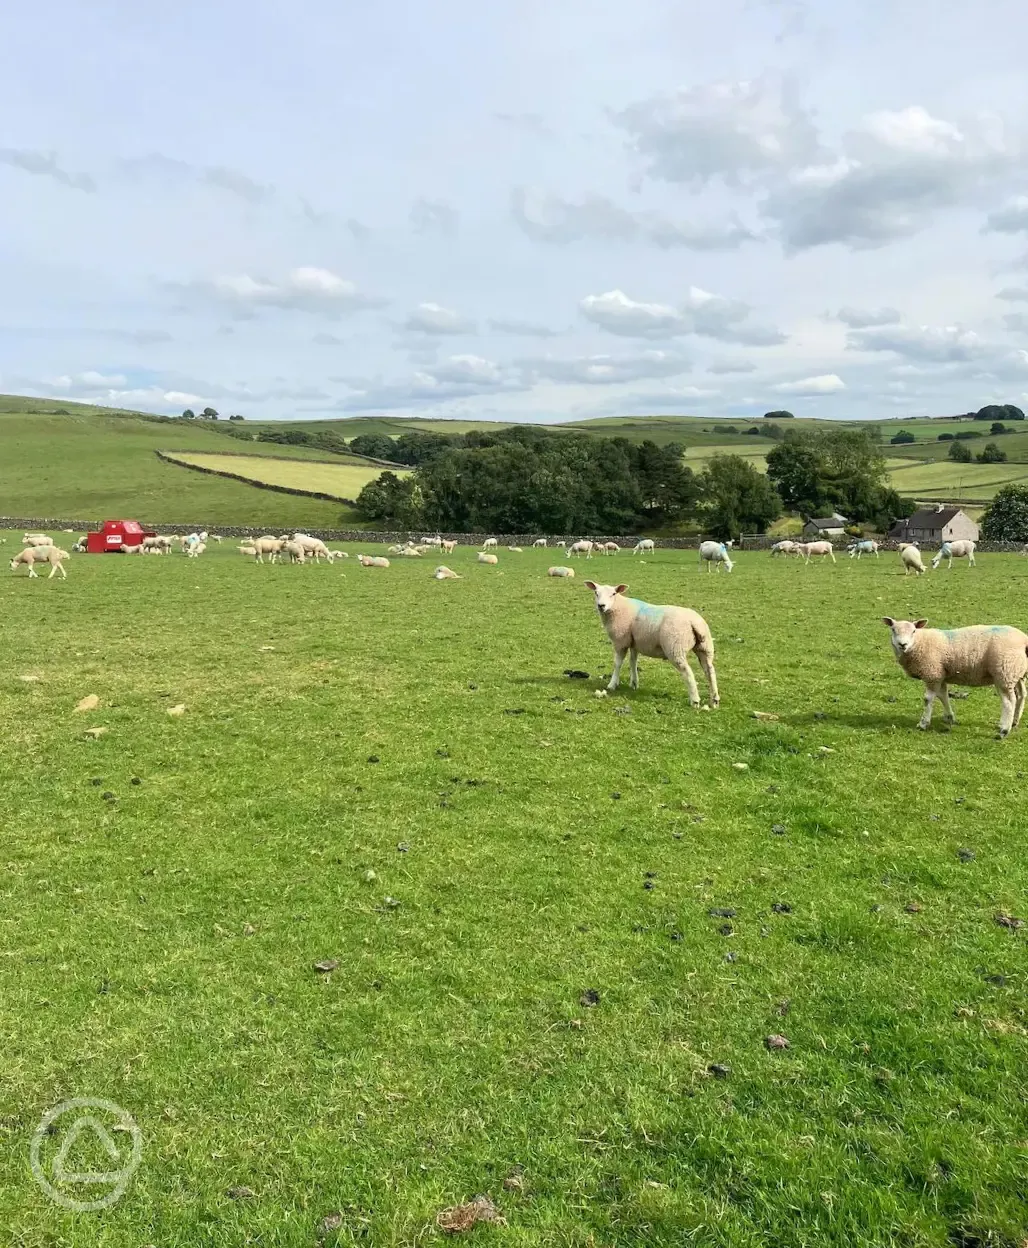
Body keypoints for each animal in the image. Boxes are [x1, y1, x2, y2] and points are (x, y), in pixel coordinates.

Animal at [581, 579, 718, 708]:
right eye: (596, 592)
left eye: (613, 594)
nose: (601, 606)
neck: (618, 607)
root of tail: (694, 622)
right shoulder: (634, 642)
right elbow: (633, 661)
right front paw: (634, 683)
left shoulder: (621, 641)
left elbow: (618, 664)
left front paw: (612, 684)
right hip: (705, 647)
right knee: (710, 670)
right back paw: (715, 700)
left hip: (675, 647)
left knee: (688, 672)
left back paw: (695, 701)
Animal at [878, 616, 1028, 733]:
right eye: (893, 630)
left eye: (914, 631)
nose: (902, 644)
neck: (920, 642)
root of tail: (1024, 639)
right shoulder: (940, 674)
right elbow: (943, 695)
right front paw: (949, 717)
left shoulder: (932, 673)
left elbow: (928, 699)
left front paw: (923, 723)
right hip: (1017, 673)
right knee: (1021, 695)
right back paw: (1014, 721)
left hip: (1004, 672)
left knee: (1009, 701)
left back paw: (1004, 729)